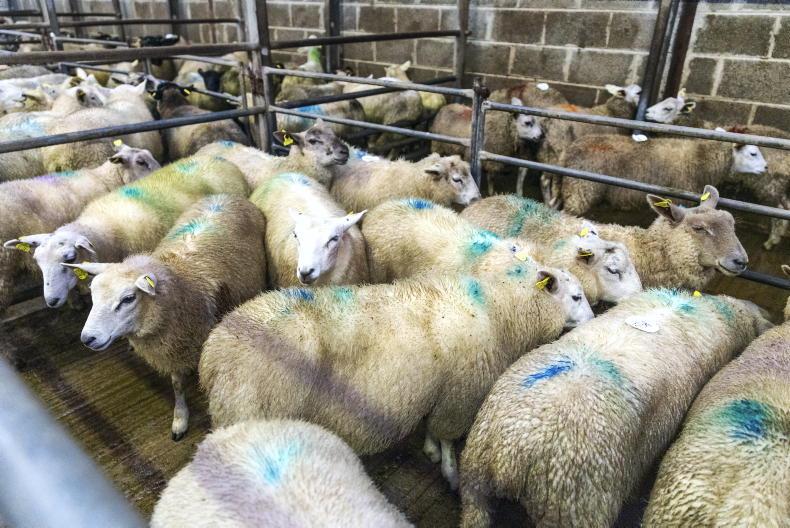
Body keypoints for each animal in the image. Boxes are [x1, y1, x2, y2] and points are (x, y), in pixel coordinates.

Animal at [64, 195, 265, 440]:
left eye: (128, 298)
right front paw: (180, 418)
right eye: (93, 293)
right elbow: (177, 386)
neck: (182, 286)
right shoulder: (174, 351)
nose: (88, 338)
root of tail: (226, 196)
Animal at [199, 257, 592, 489]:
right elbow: (447, 437)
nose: (595, 319)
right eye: (575, 297)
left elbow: (433, 427)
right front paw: (449, 471)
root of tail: (214, 355)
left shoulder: (443, 388)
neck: (500, 309)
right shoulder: (461, 394)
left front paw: (431, 450)